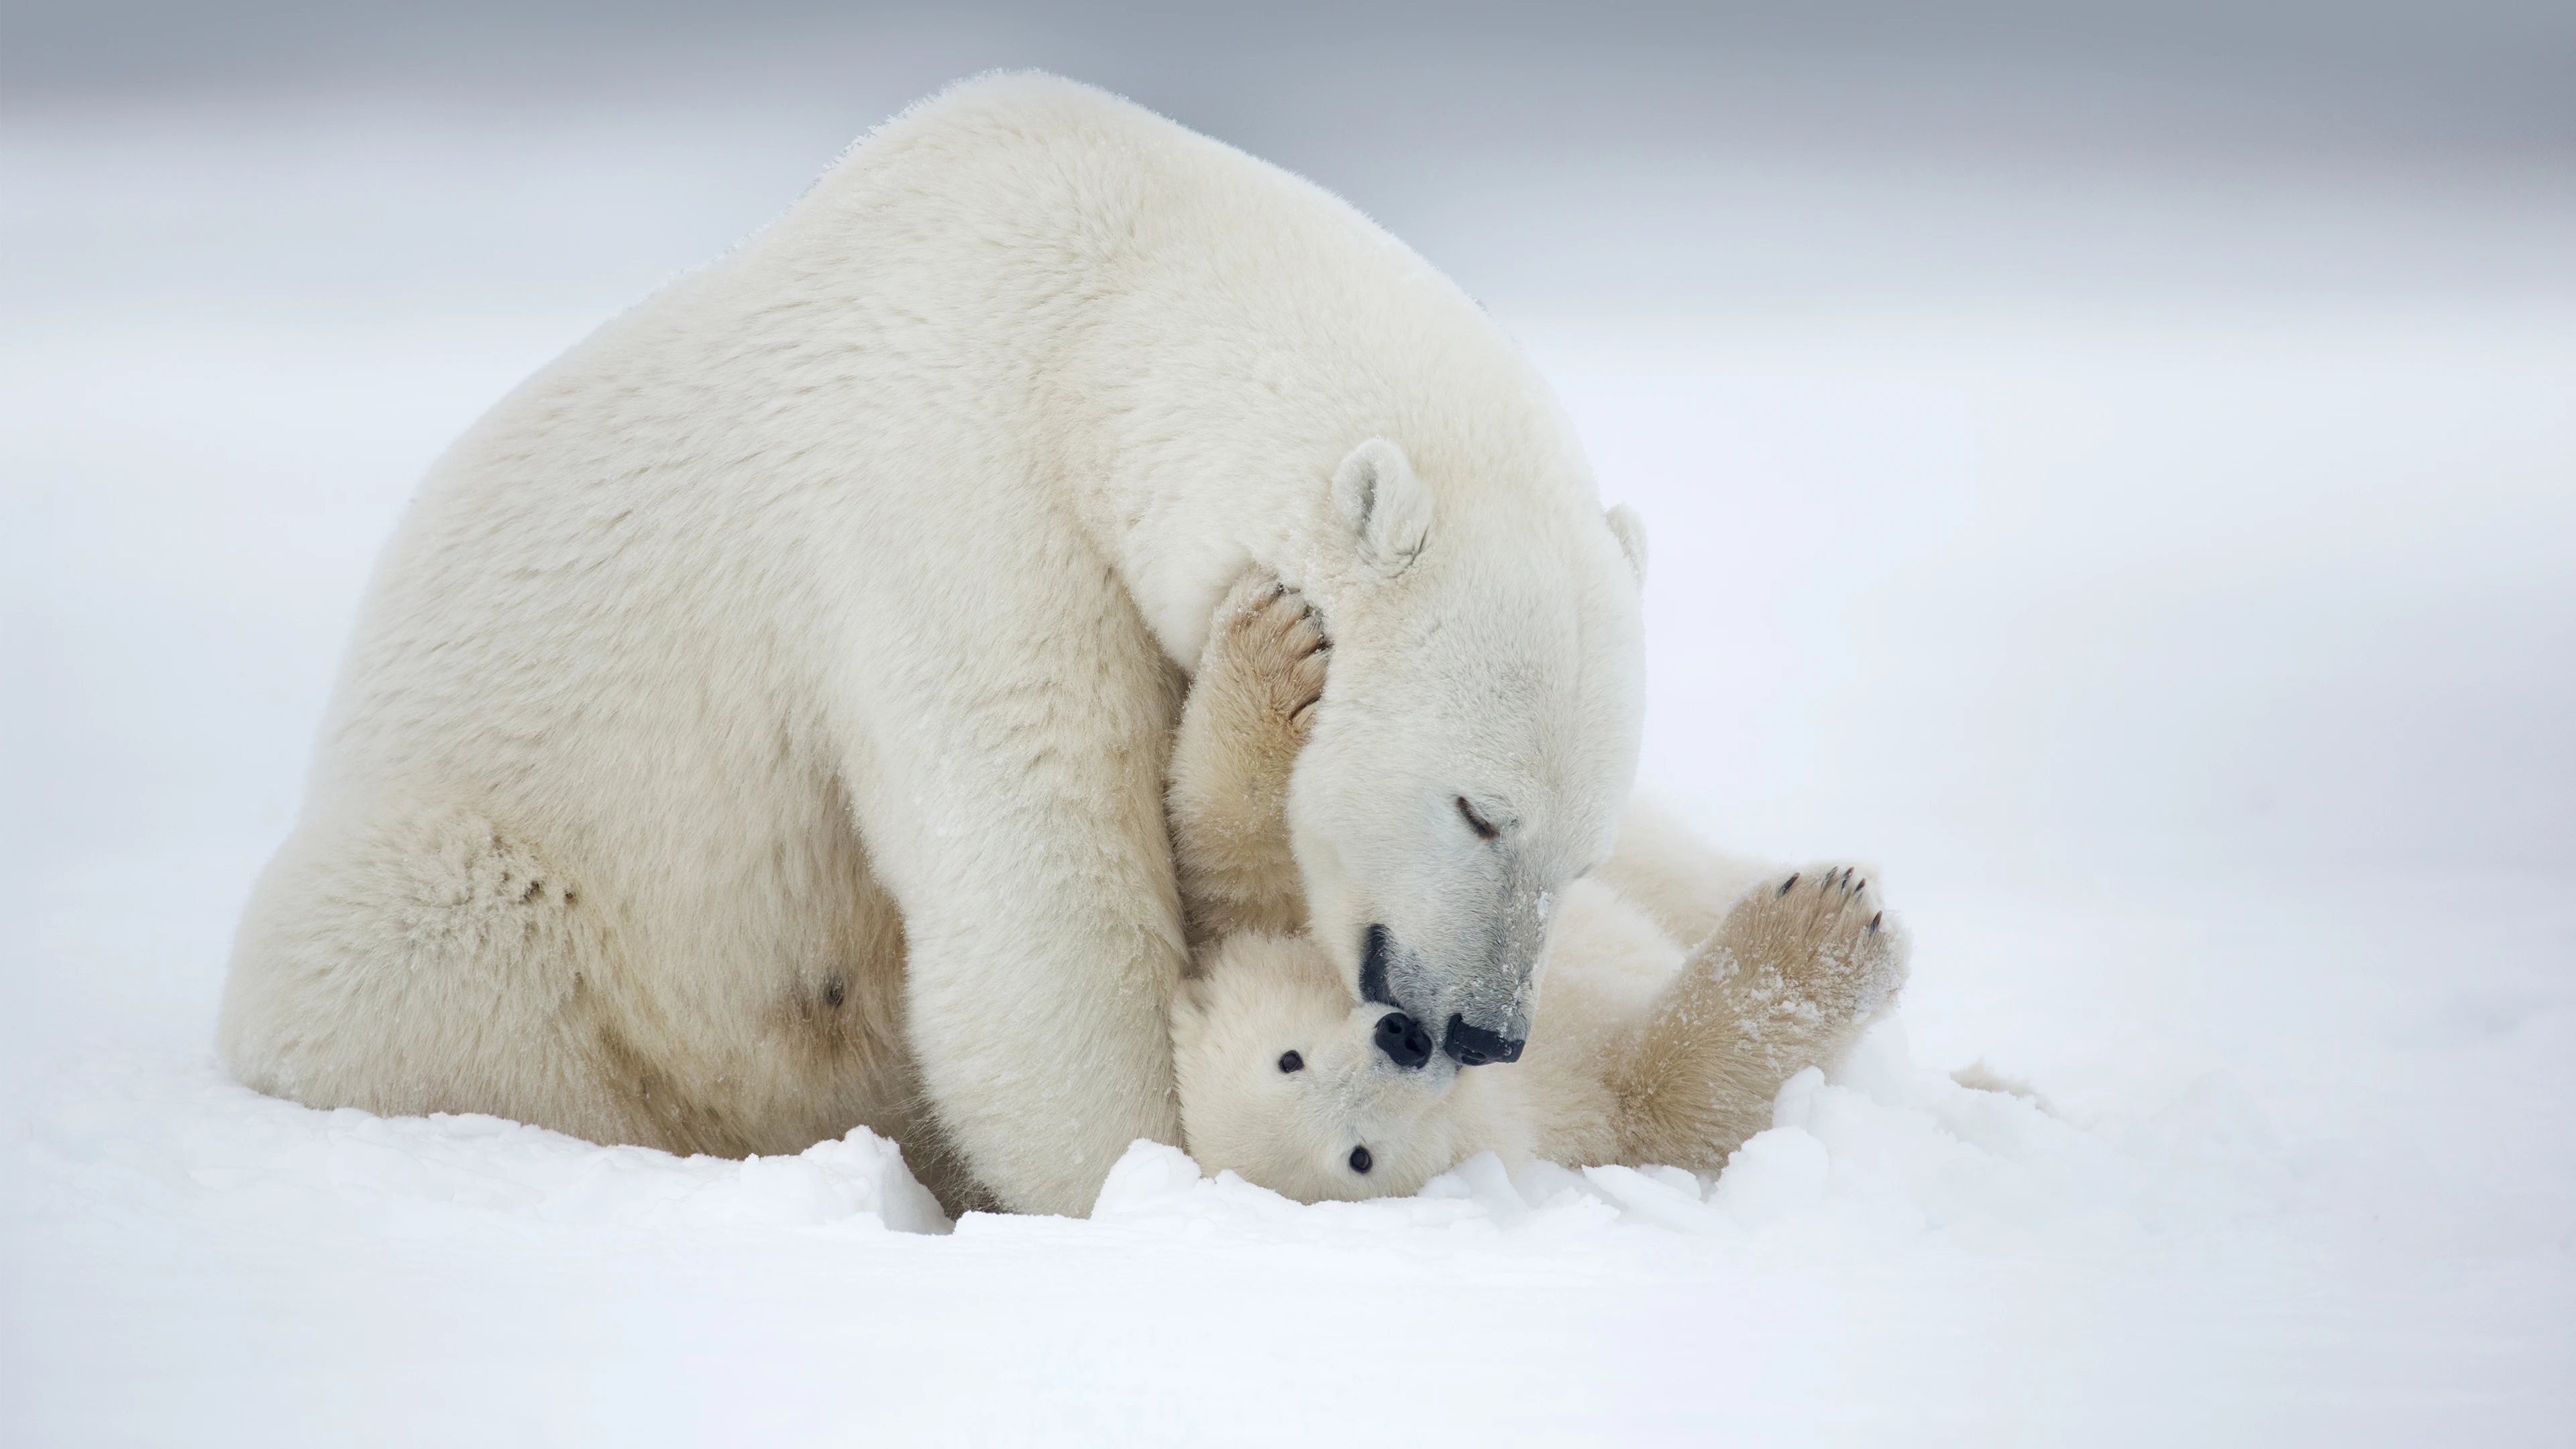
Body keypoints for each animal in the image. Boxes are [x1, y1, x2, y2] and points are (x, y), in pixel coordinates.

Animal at [216, 73, 1651, 1216]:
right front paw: (1147, 1178)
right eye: (1478, 810)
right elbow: (1038, 878)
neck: (1103, 304)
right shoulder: (952, 501)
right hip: (503, 887)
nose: (1481, 1030)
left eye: (1581, 853)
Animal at [1165, 578, 1907, 1203]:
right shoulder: (1570, 1114)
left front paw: (1278, 642)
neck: (1492, 1085)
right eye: (1358, 1157)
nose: (1404, 1039)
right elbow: (1675, 1100)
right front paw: (1823, 930)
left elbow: (1240, 853)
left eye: (1287, 1058)